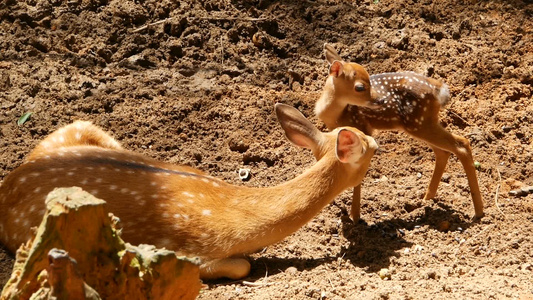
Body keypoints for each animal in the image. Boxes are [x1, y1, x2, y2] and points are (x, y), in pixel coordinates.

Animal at [0, 103, 378, 282]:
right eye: (372, 149)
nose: (379, 141)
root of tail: (6, 188)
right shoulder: (191, 254)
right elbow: (241, 265)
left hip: (77, 129)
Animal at [314, 45, 484, 223]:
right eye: (360, 87)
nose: (380, 100)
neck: (335, 114)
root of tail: (439, 88)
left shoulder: (363, 129)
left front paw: (355, 217)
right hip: (422, 123)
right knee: (443, 152)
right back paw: (426, 199)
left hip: (419, 123)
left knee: (461, 144)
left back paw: (478, 212)